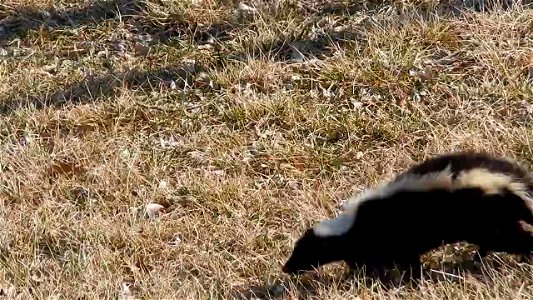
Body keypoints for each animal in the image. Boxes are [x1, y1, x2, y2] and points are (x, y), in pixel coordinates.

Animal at [280, 152, 532, 278]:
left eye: (305, 252)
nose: (286, 268)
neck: (351, 225)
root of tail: (512, 181)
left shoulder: (393, 237)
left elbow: (403, 260)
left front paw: (410, 277)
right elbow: (363, 260)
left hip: (486, 217)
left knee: (513, 238)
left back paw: (523, 257)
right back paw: (478, 259)